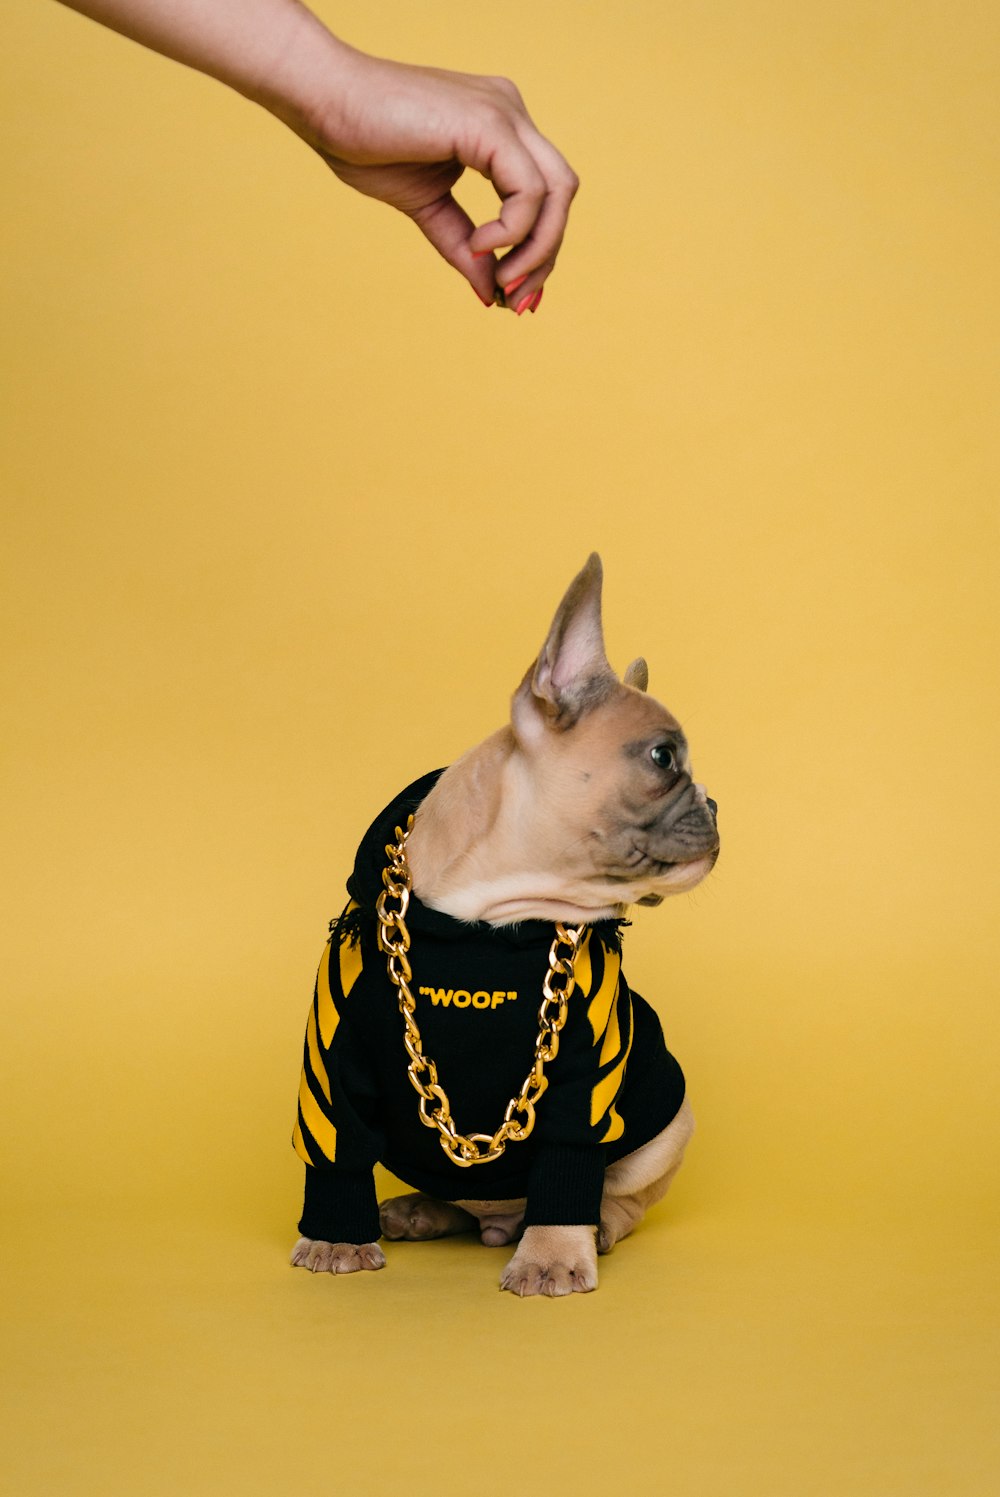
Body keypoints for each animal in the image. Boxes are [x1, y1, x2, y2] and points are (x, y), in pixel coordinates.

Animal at [288, 556, 718, 1293]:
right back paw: (419, 1209)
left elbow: (571, 1153)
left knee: (620, 1197)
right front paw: (335, 1237)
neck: (488, 915)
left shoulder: (582, 1075)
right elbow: (335, 1149)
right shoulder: (336, 1054)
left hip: (668, 1125)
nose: (716, 804)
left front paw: (552, 1256)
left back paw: (592, 1226)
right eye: (663, 757)